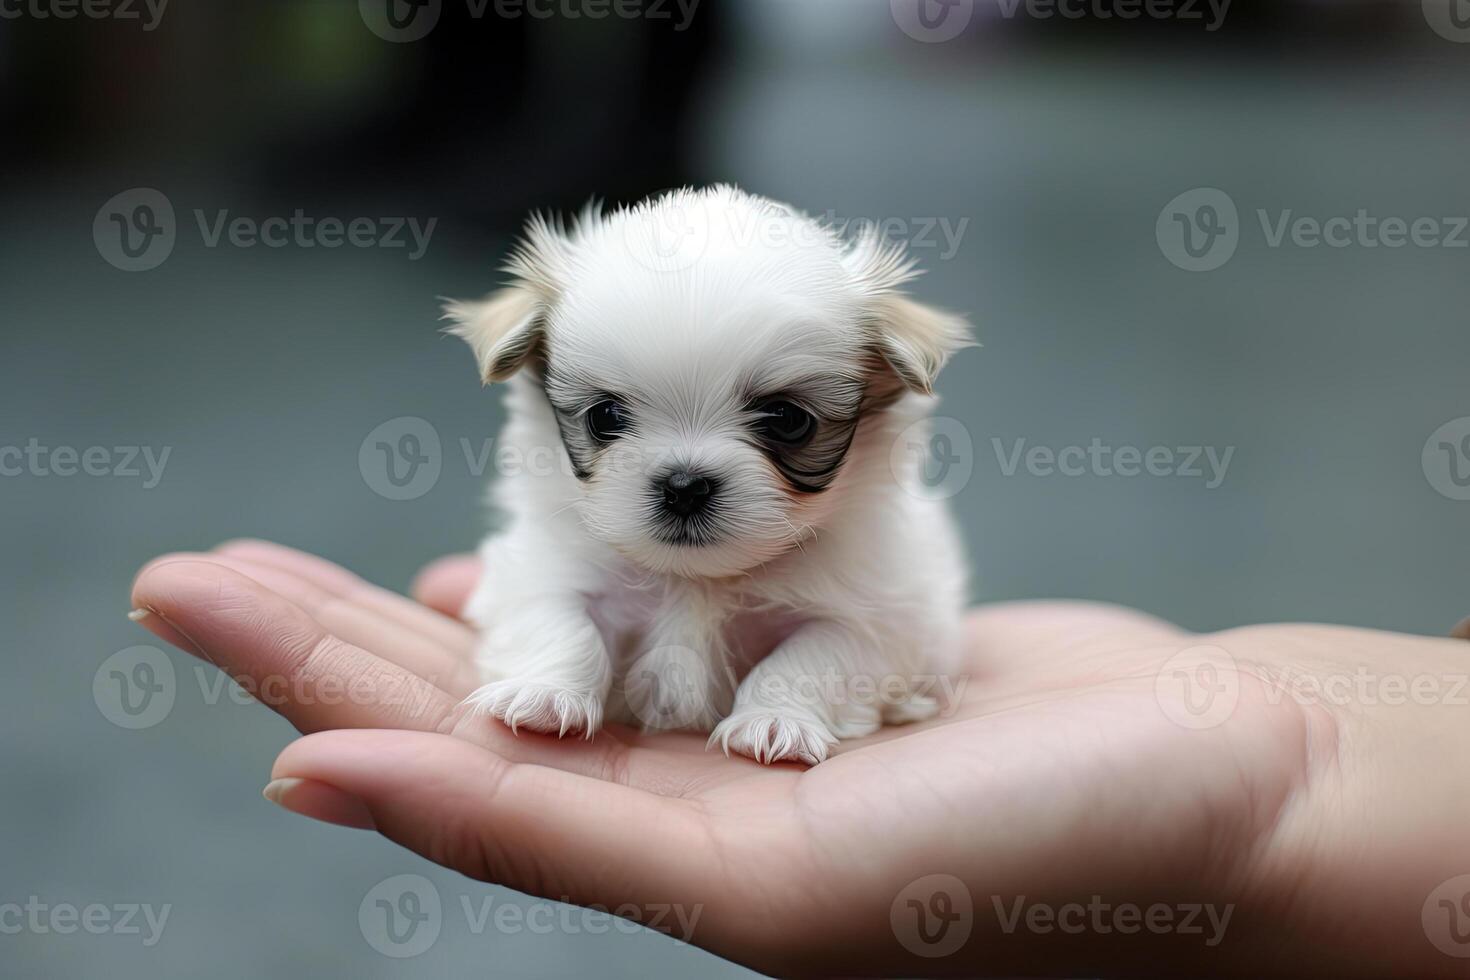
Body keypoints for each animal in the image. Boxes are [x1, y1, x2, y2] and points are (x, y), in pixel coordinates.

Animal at [446, 185, 976, 764]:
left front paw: (775, 722)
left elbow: (811, 656)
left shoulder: (873, 614)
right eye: (605, 416)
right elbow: (562, 624)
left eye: (788, 420)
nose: (684, 487)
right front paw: (543, 694)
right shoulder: (538, 573)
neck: (698, 578)